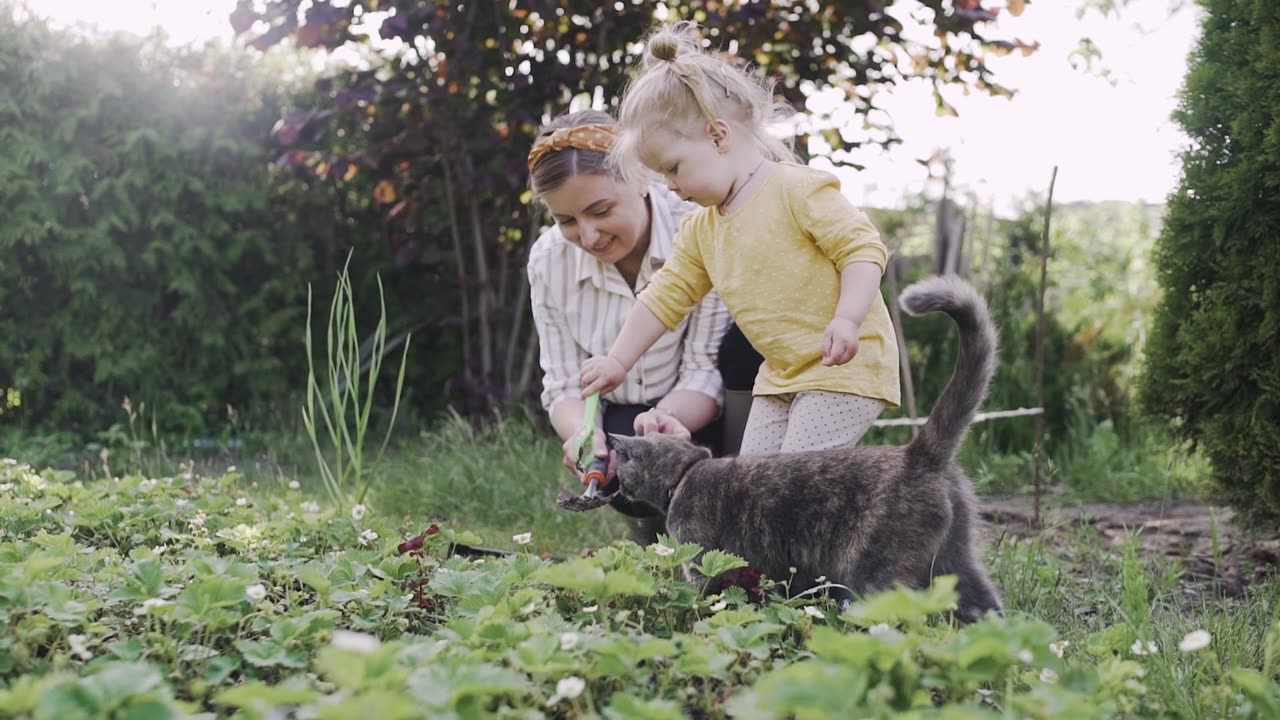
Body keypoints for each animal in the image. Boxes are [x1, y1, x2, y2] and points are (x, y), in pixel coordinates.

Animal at [604, 274, 1003, 622]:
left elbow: (699, 594)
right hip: (955, 560)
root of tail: (918, 454)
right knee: (988, 609)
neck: (685, 474)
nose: (613, 482)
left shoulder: (700, 558)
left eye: (619, 464)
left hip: (875, 572)